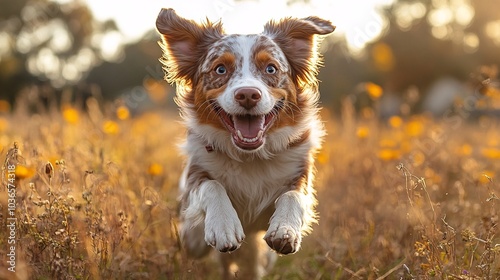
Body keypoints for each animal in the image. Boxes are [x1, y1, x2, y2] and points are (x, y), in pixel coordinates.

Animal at [156, 8, 336, 280]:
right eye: (220, 69)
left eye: (271, 68)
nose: (248, 94)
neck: (251, 157)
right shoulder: (195, 176)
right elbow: (211, 187)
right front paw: (223, 225)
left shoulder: (299, 174)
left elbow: (293, 195)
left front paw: (285, 229)